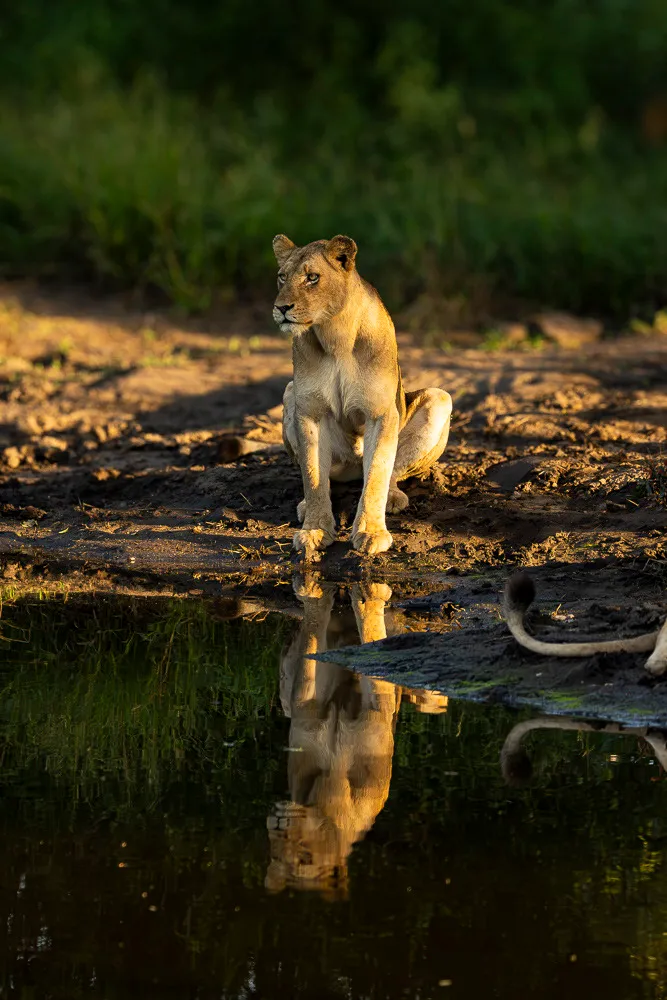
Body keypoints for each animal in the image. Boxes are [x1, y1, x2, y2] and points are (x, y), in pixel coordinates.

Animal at [265, 578, 448, 900]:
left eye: (304, 858)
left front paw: (368, 596)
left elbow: (375, 655)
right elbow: (310, 648)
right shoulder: (305, 706)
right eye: (275, 853)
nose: (278, 828)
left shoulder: (375, 716)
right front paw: (315, 594)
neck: (333, 792)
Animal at [272, 233, 452, 556]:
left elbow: (378, 473)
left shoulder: (381, 413)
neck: (334, 335)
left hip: (439, 398)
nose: (281, 308)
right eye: (282, 277)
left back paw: (392, 498)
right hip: (290, 394)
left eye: (312, 277)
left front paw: (371, 532)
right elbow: (313, 474)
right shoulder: (309, 410)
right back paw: (305, 506)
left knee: (391, 471)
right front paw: (315, 529)